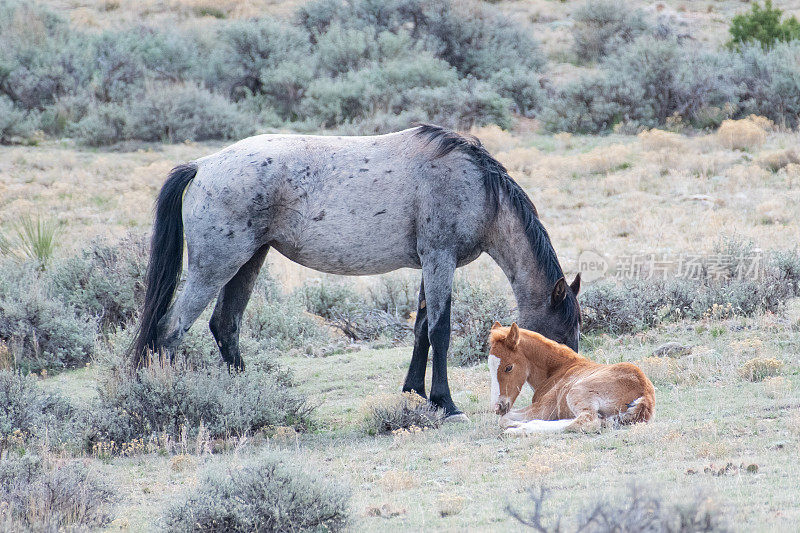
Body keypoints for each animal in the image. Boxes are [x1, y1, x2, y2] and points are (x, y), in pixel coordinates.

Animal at [133, 122, 580, 418]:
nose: (565, 386)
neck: (478, 188)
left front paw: (416, 393)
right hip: (215, 268)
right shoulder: (440, 258)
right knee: (170, 331)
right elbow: (439, 329)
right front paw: (447, 403)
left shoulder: (430, 263)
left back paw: (249, 396)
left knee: (225, 325)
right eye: (564, 331)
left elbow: (421, 328)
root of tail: (203, 165)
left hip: (248, 262)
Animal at [484, 320, 652, 432]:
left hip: (575, 392)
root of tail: (645, 396)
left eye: (508, 367)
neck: (559, 369)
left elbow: (504, 419)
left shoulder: (543, 408)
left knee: (587, 422)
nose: (497, 406)